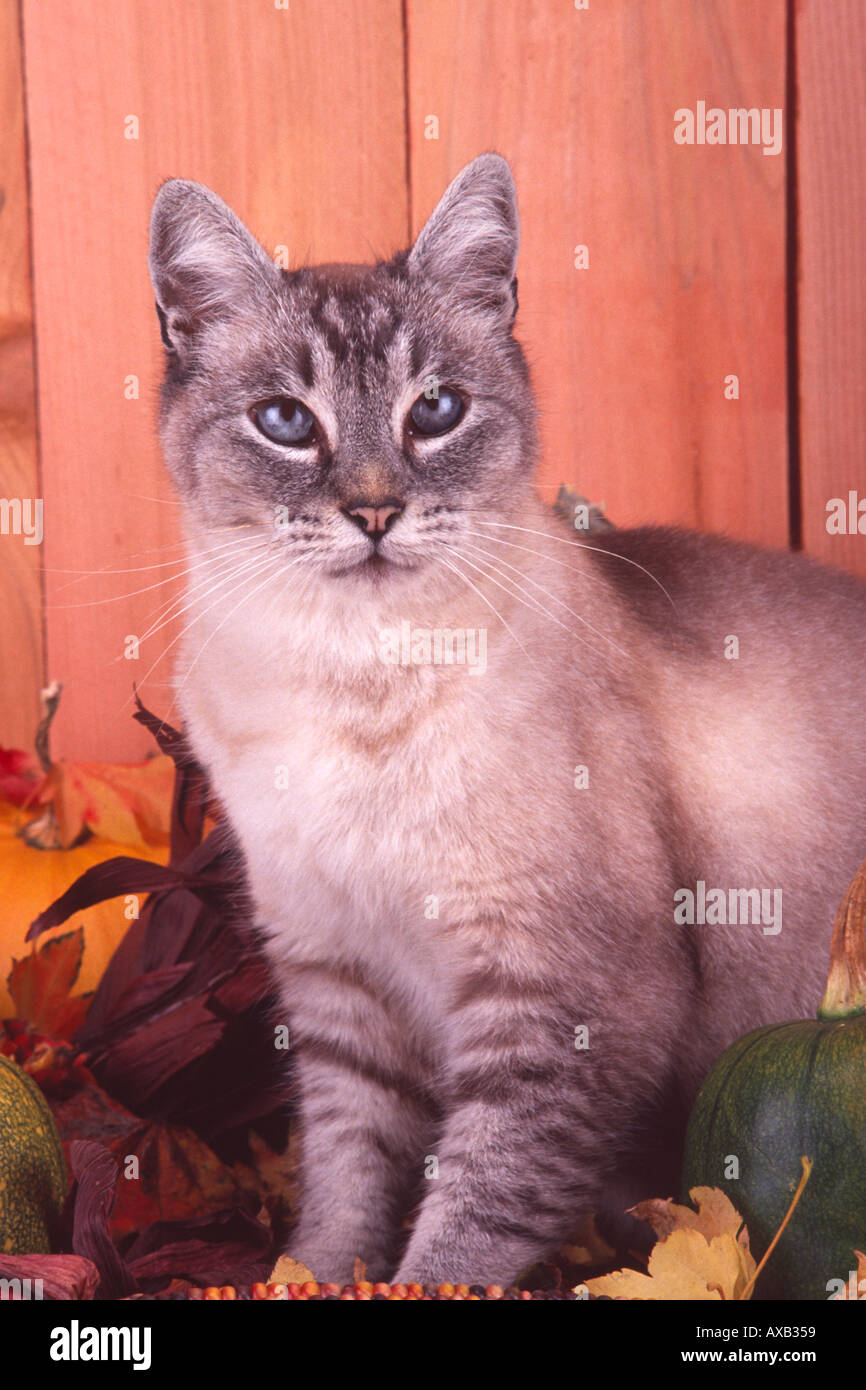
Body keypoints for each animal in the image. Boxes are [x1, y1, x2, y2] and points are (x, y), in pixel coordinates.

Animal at [147, 157, 866, 1284]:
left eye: (435, 411)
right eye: (286, 422)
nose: (373, 511)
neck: (355, 681)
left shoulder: (558, 998)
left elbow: (475, 1212)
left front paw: (409, 1283)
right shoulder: (338, 983)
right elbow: (345, 1183)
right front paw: (306, 1277)